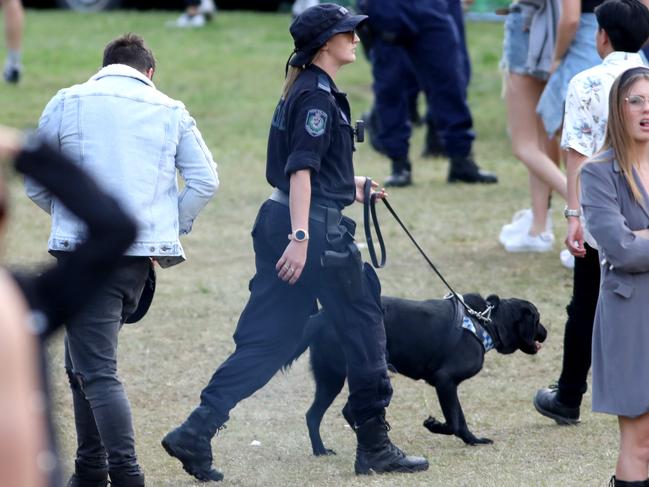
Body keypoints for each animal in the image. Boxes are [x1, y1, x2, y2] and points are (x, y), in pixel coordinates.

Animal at [286, 294, 544, 458]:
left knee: (315, 414)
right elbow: (454, 421)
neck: (485, 322)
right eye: (538, 319)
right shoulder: (445, 380)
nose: (547, 332)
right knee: (342, 410)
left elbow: (460, 419)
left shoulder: (448, 385)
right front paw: (434, 425)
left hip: (331, 377)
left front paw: (473, 440)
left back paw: (322, 451)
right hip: (348, 375)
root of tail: (322, 317)